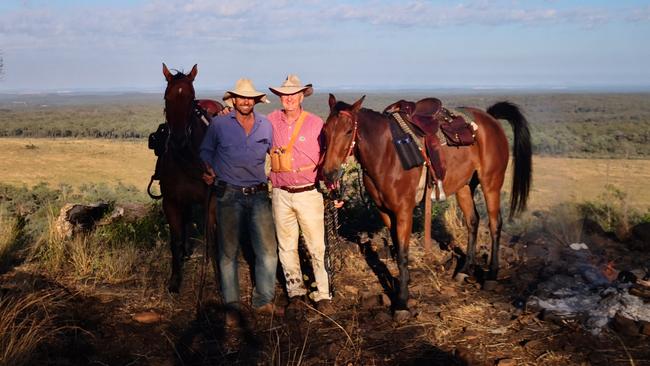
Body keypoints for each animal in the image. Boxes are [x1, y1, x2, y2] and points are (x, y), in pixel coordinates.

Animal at [158, 63, 223, 292]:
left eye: (190, 97)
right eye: (167, 97)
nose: (178, 139)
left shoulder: (210, 201)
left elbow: (212, 240)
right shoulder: (171, 201)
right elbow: (175, 240)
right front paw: (175, 279)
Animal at [322, 93, 528, 318]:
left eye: (348, 131)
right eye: (325, 131)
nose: (328, 174)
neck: (386, 154)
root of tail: (490, 119)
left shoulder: (404, 210)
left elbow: (403, 254)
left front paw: (402, 302)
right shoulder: (385, 211)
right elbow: (396, 248)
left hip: (491, 183)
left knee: (494, 224)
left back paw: (491, 276)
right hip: (464, 187)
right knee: (473, 222)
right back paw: (465, 270)